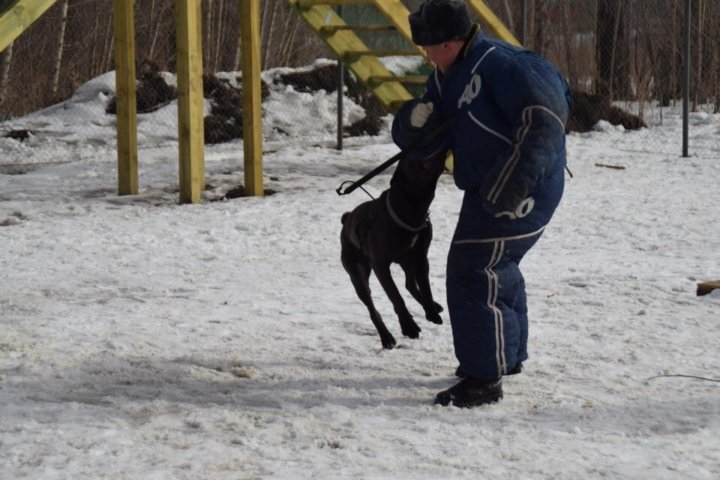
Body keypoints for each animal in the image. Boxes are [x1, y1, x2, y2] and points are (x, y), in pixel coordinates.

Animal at [338, 156, 444, 346]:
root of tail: (346, 219)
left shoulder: (421, 257)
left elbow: (425, 287)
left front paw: (431, 312)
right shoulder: (380, 265)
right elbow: (395, 296)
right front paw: (409, 326)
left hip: (407, 261)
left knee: (410, 284)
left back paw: (432, 305)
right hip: (357, 273)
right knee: (372, 307)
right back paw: (386, 337)